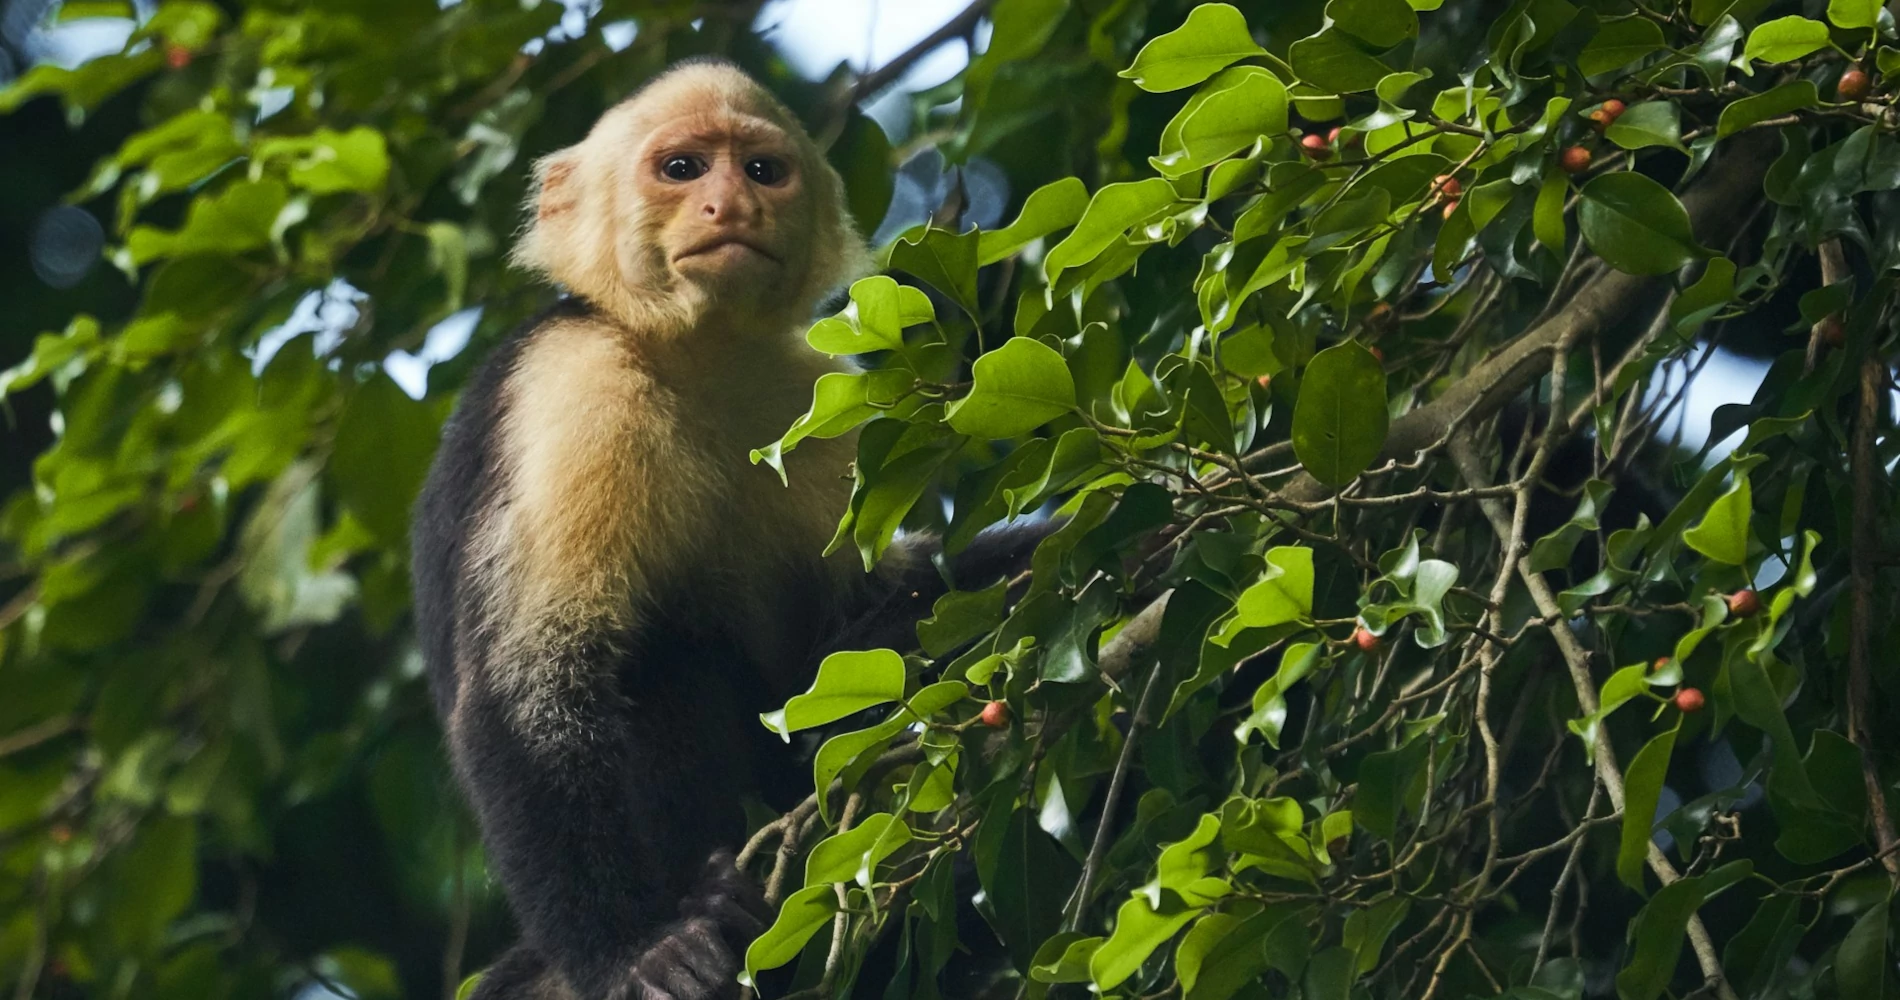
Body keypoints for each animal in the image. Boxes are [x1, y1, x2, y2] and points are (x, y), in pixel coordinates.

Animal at [412, 60, 1041, 1000]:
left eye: (761, 171)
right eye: (681, 169)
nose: (731, 205)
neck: (695, 357)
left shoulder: (812, 397)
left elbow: (872, 613)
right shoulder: (571, 384)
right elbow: (528, 680)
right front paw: (630, 949)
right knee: (668, 659)